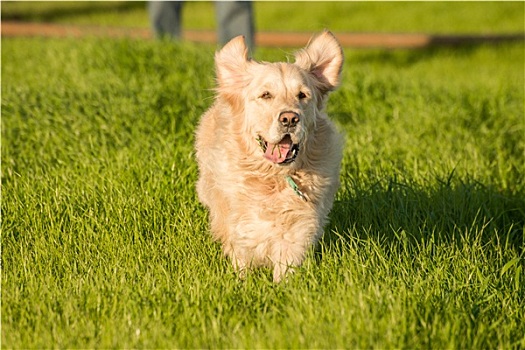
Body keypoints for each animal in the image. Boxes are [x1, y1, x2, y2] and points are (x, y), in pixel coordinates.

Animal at [195, 30, 344, 282]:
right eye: (266, 95)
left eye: (302, 95)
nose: (290, 118)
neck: (273, 176)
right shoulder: (240, 223)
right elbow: (243, 252)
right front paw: (243, 283)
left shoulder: (299, 225)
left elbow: (287, 262)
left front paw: (282, 287)